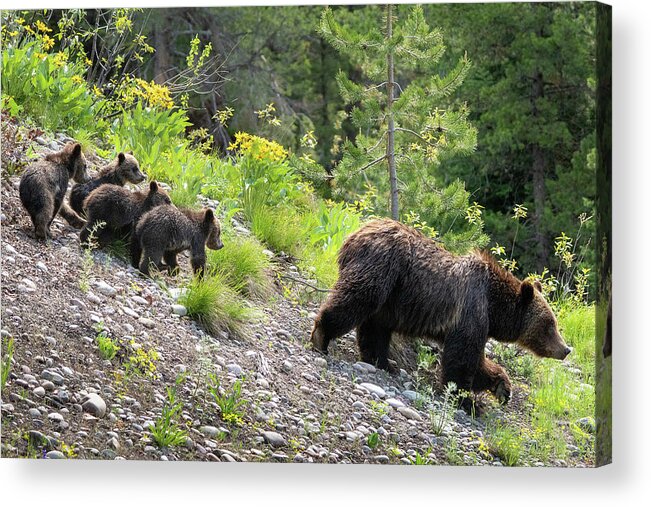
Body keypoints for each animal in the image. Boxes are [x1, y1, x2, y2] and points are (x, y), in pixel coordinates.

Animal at [314, 220, 572, 414]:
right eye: (550, 325)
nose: (566, 349)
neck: (494, 307)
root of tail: (354, 234)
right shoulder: (471, 309)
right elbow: (461, 358)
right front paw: (469, 402)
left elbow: (477, 362)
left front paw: (502, 387)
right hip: (381, 268)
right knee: (357, 299)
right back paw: (321, 335)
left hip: (389, 297)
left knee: (375, 327)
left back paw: (384, 362)